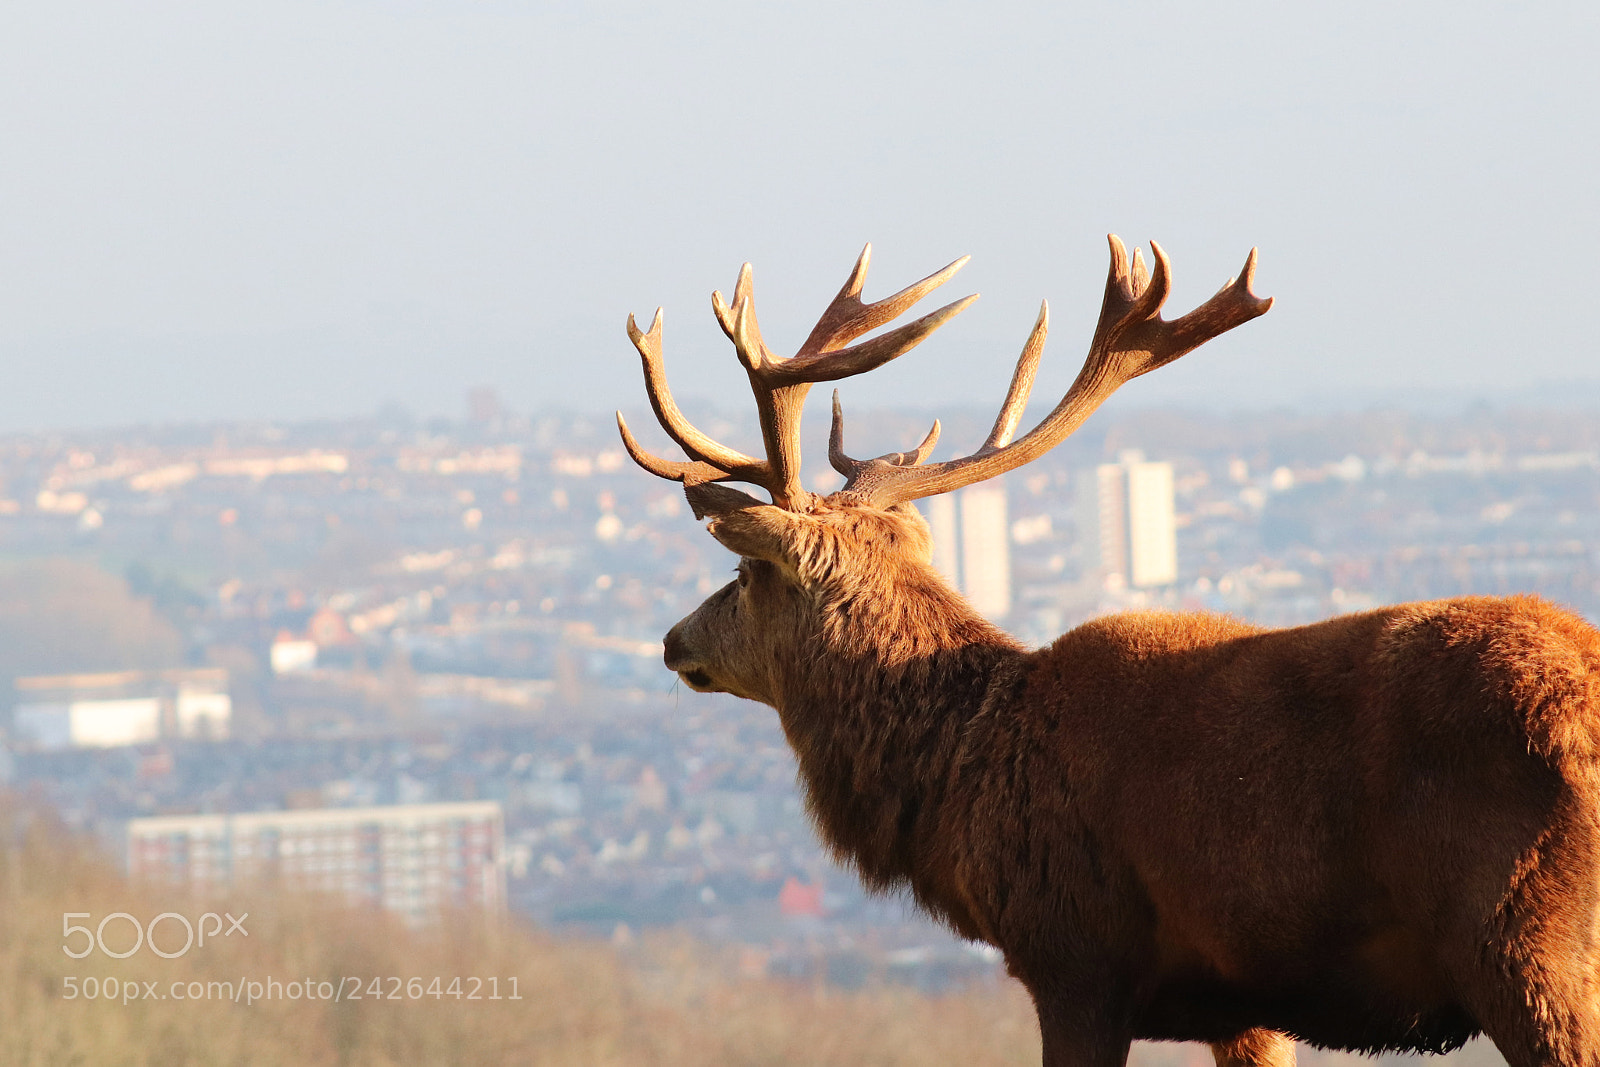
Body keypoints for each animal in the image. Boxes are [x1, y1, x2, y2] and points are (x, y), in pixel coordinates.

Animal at [615, 237, 1600, 1067]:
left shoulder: (1075, 956)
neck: (958, 781)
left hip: (1523, 944)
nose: (671, 640)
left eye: (744, 570)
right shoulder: (1245, 1003)